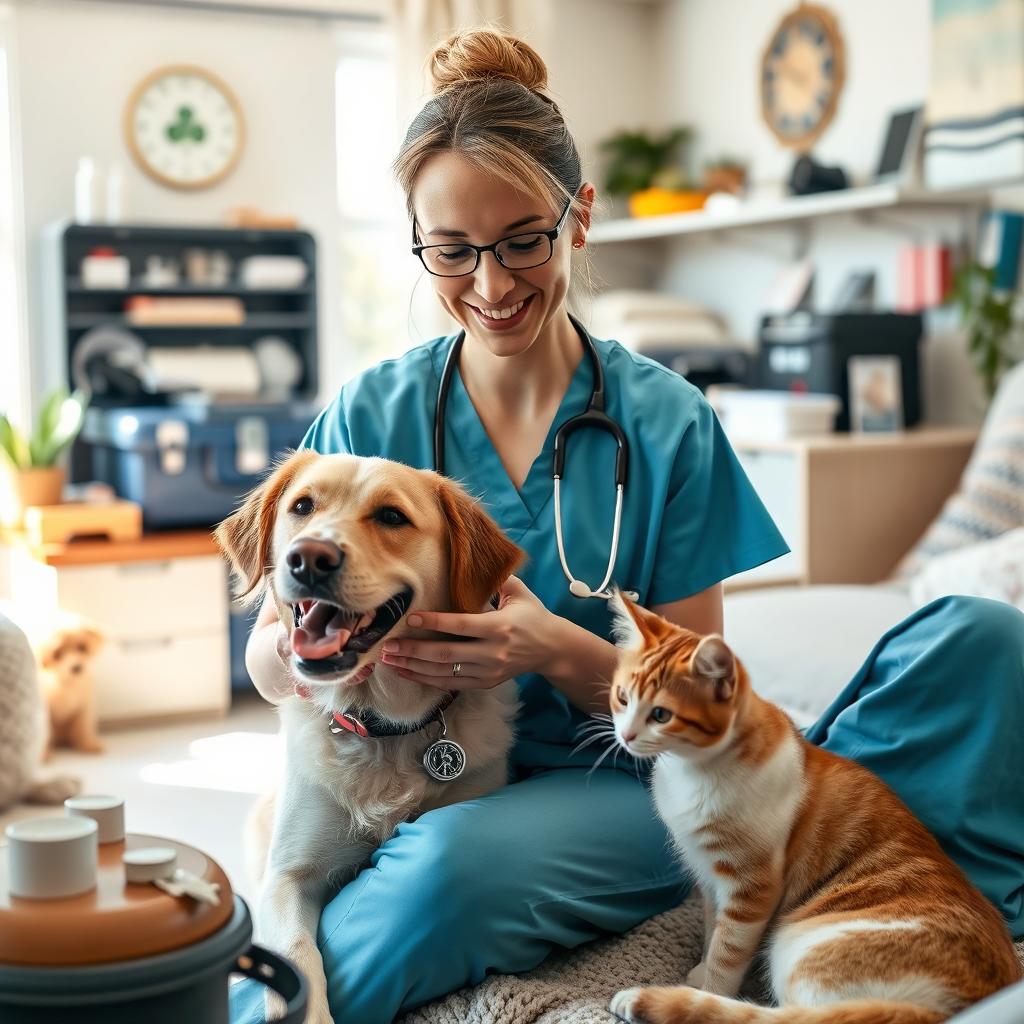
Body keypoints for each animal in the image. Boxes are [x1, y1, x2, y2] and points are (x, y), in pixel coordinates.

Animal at [214, 454, 520, 1024]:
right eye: (302, 506)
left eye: (392, 517)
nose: (308, 558)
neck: (382, 727)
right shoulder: (287, 876)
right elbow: (295, 953)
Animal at [602, 593, 1019, 1024]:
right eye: (622, 697)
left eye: (661, 714)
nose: (626, 736)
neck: (692, 771)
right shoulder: (708, 878)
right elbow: (711, 928)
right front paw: (700, 967)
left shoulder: (752, 885)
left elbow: (726, 954)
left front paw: (705, 984)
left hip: (800, 949)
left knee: (779, 1014)